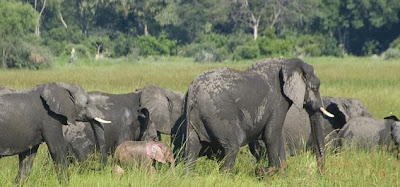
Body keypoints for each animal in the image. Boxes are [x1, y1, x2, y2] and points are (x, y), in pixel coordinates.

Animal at [173, 57, 332, 175]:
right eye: (315, 87)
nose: (320, 173)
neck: (288, 63)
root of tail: (192, 89)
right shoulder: (278, 101)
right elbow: (271, 134)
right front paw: (268, 171)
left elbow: (277, 134)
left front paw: (281, 172)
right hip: (218, 115)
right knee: (232, 146)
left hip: (193, 117)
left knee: (192, 149)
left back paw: (189, 176)